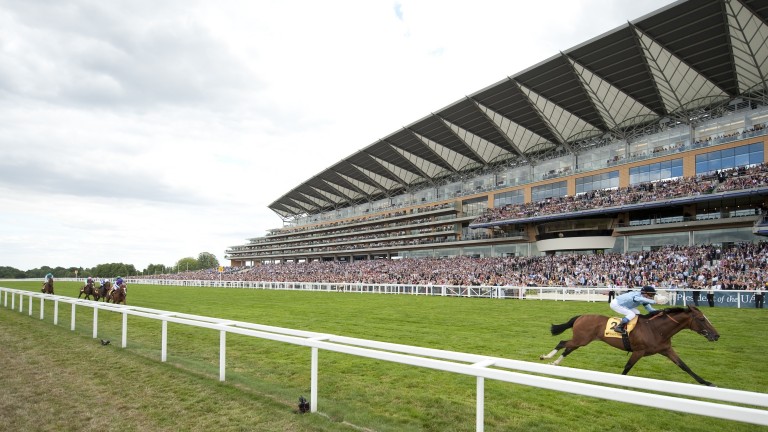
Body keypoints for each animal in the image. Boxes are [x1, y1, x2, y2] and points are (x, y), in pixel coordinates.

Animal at [540, 306, 720, 386]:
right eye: (702, 319)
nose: (716, 335)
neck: (657, 330)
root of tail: (580, 316)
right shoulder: (638, 351)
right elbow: (627, 368)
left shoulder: (666, 350)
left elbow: (684, 366)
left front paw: (706, 383)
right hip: (581, 339)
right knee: (563, 343)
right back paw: (546, 357)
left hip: (582, 340)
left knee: (568, 348)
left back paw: (554, 362)